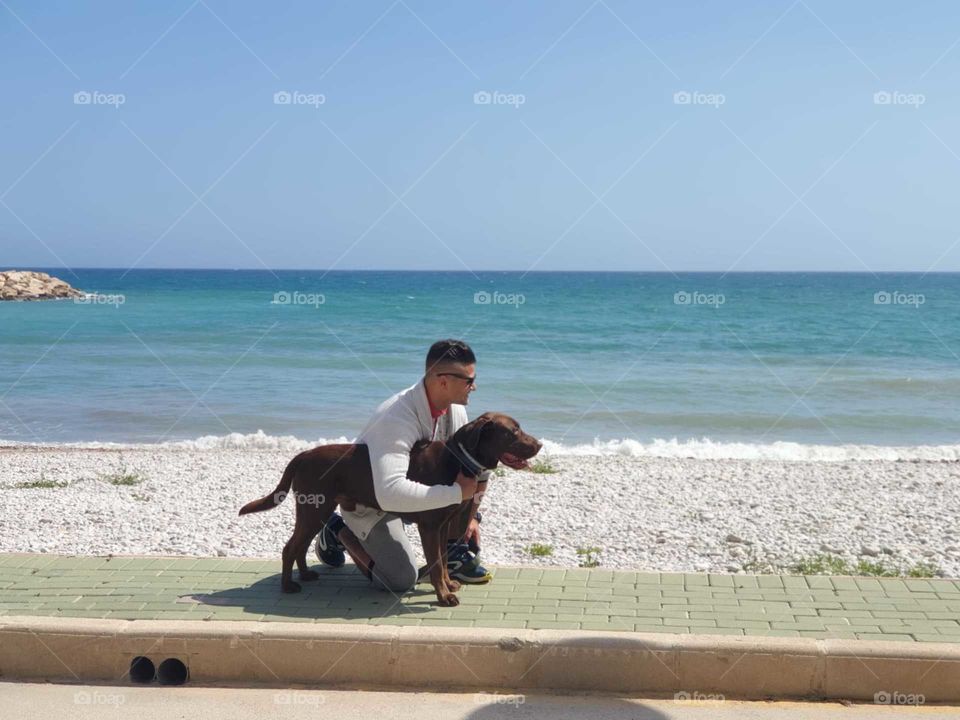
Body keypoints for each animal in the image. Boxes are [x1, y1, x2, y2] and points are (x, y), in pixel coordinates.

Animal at [238, 414, 540, 604]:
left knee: (300, 544)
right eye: (513, 431)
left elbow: (442, 562)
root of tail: (302, 455)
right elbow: (436, 564)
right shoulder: (430, 527)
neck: (458, 460)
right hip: (314, 508)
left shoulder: (442, 527)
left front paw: (449, 585)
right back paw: (288, 586)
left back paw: (306, 574)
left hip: (317, 509)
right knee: (290, 546)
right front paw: (444, 596)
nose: (539, 444)